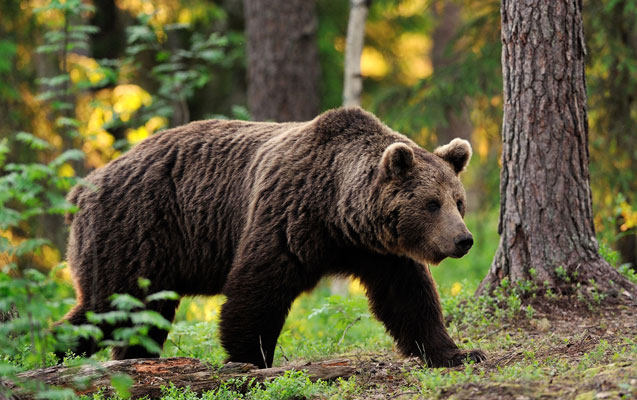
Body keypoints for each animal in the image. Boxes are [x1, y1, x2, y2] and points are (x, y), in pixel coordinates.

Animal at [62, 107, 484, 368]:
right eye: (432, 203)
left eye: (458, 201)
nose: (463, 240)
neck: (338, 213)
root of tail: (83, 187)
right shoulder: (287, 215)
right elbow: (258, 288)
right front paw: (249, 359)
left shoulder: (379, 251)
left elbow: (409, 299)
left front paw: (457, 353)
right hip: (136, 232)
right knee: (110, 306)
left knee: (140, 317)